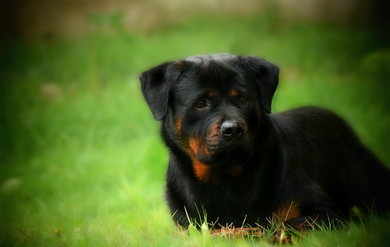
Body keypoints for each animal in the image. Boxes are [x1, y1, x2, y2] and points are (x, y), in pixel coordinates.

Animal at [139, 54, 388, 235]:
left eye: (243, 99)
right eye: (200, 103)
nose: (233, 129)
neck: (225, 182)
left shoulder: (326, 212)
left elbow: (279, 224)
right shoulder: (186, 224)